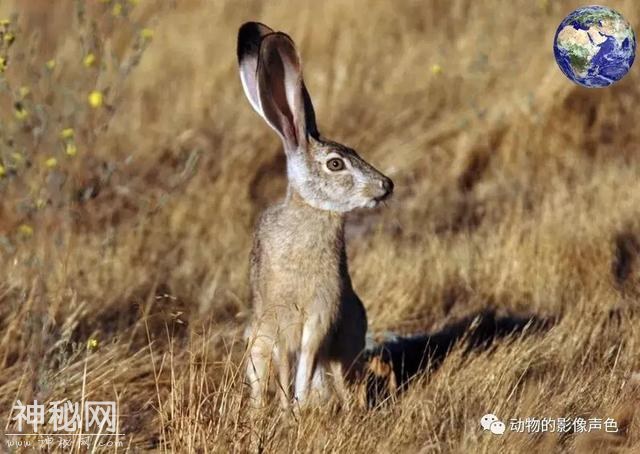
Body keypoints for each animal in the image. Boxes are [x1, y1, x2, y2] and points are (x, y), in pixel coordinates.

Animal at [238, 22, 392, 408]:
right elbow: (286, 362)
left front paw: (300, 403)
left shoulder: (323, 314)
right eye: (336, 164)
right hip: (256, 341)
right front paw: (287, 409)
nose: (386, 185)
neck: (311, 209)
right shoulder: (279, 318)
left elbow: (307, 359)